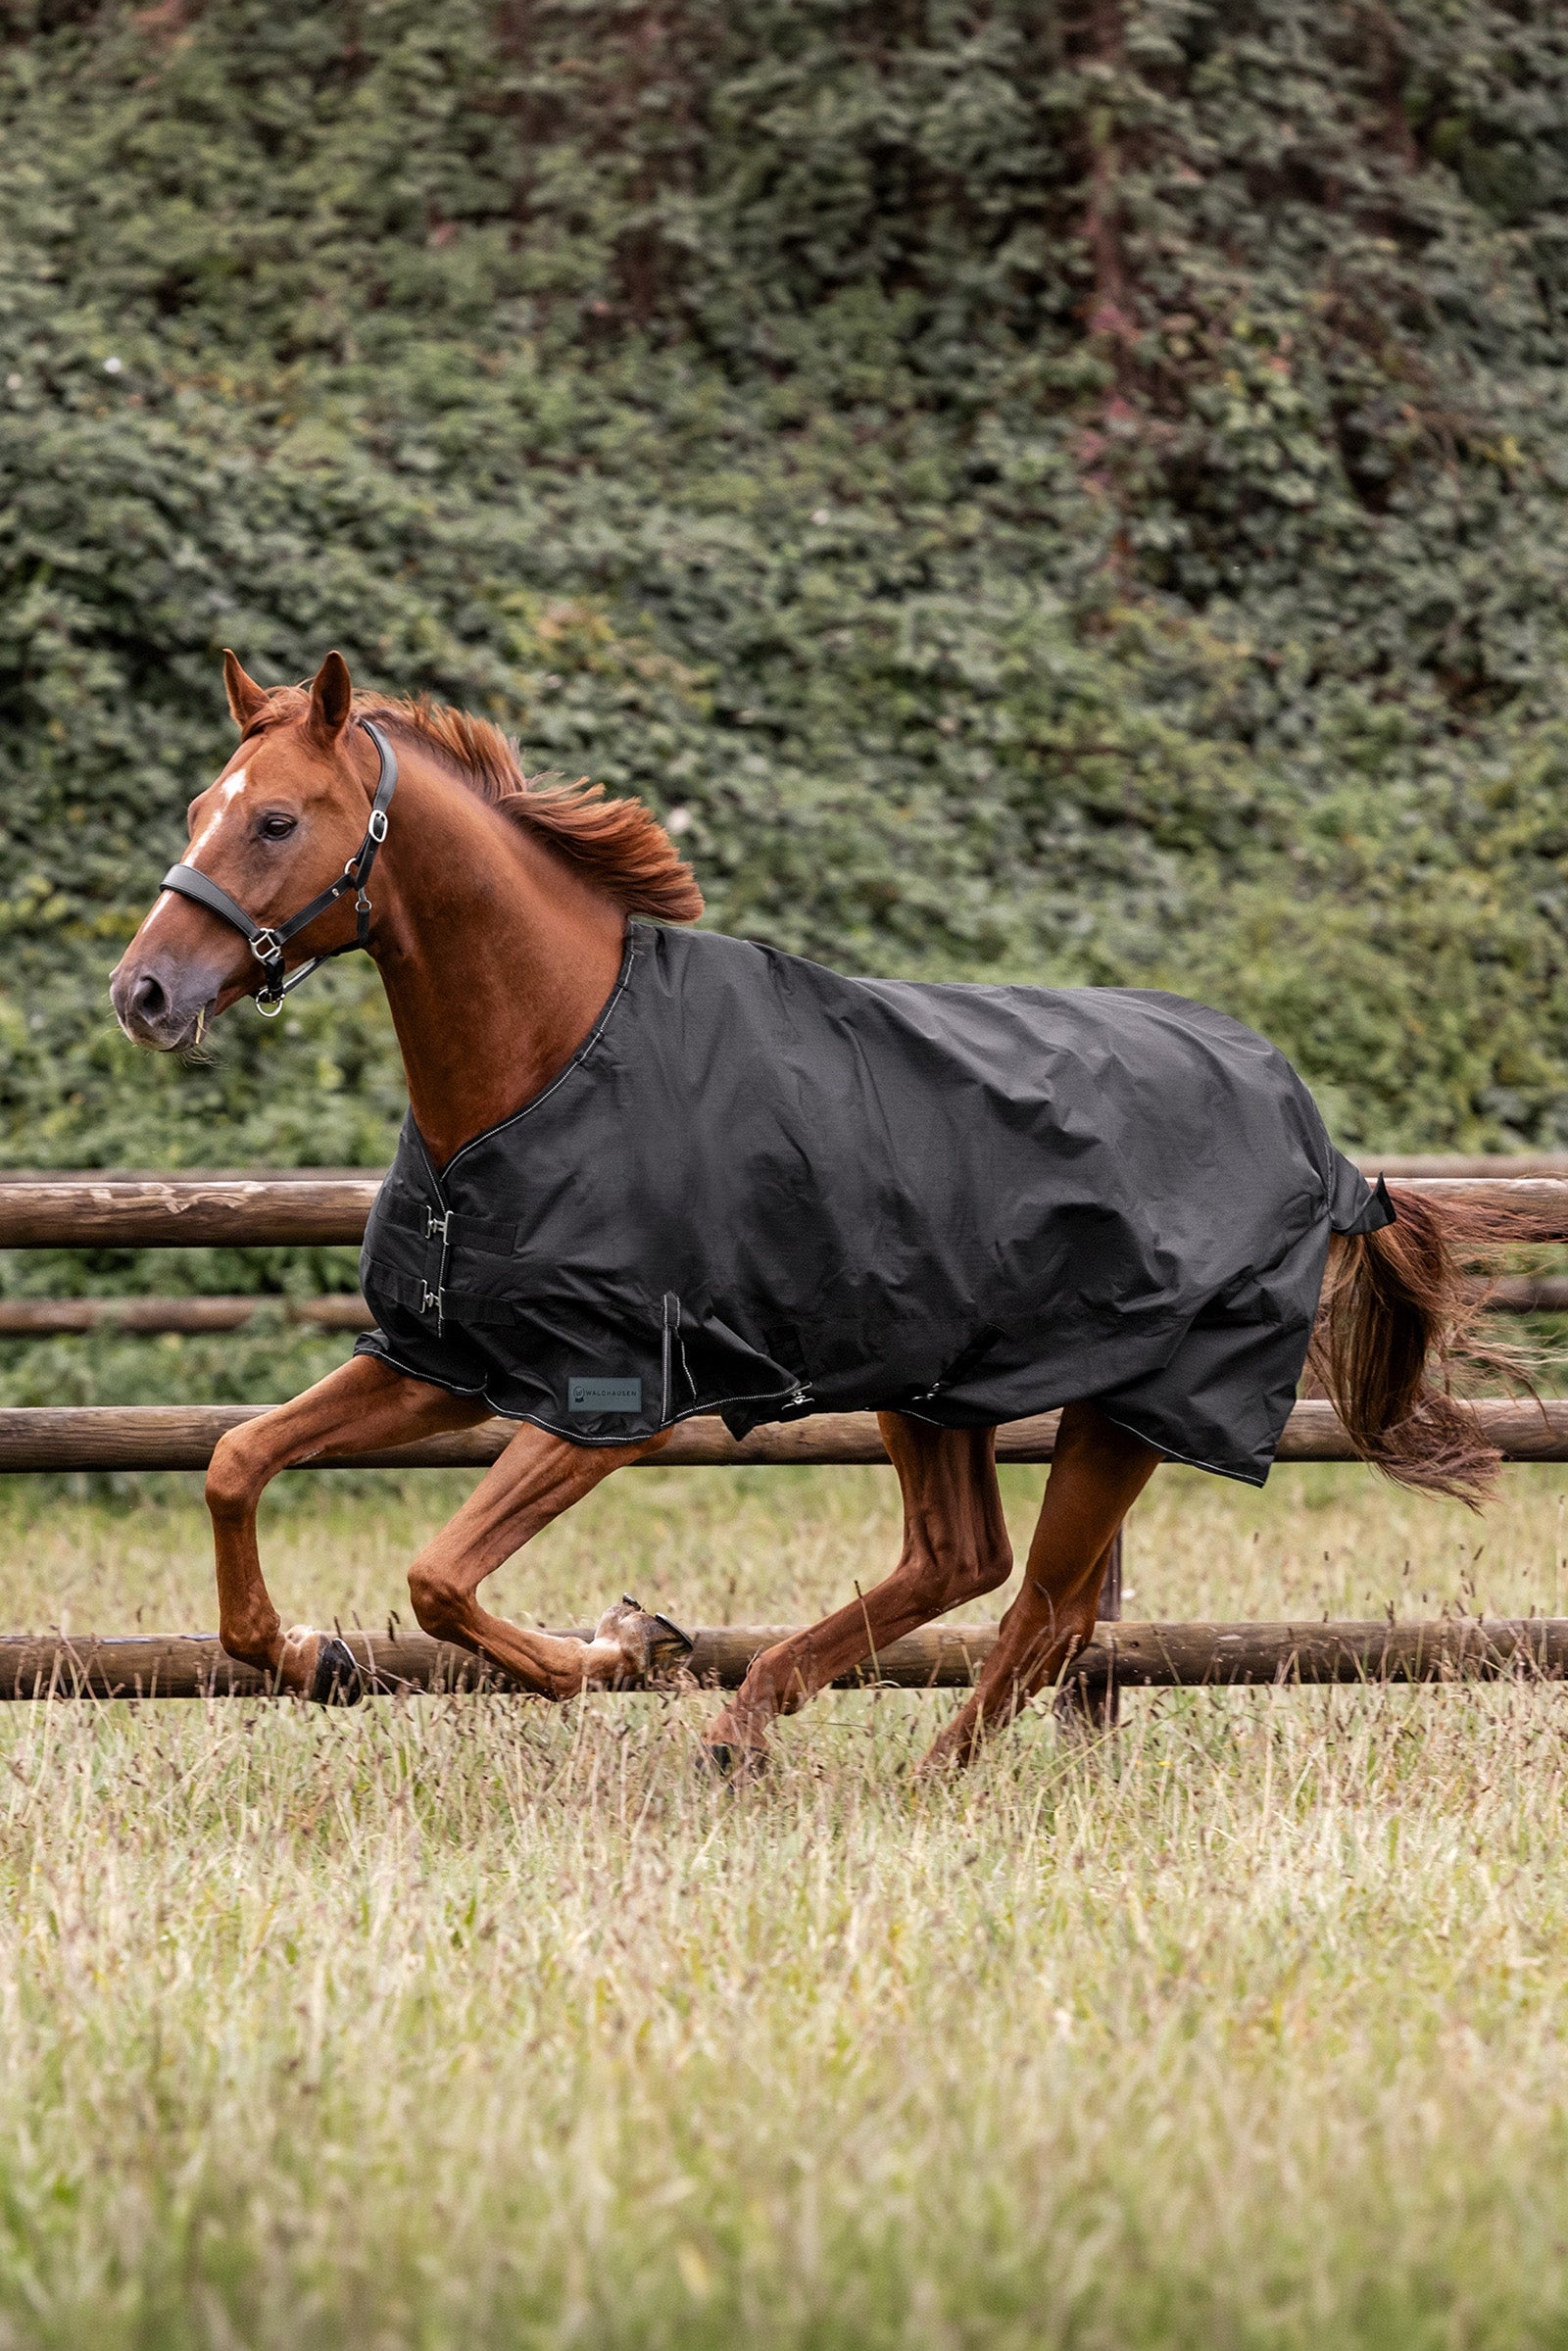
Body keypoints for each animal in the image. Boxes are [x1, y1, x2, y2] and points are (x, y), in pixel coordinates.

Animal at [109, 650, 1504, 1770]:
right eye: (195, 809)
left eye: (275, 819)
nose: (144, 993)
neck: (551, 1060)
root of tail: (1317, 1136)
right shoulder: (444, 1360)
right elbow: (237, 1461)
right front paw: (313, 1657)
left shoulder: (610, 1401)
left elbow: (439, 1575)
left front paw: (617, 1649)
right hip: (933, 1384)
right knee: (961, 1560)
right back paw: (760, 1724)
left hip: (1130, 1408)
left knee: (1042, 1606)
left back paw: (901, 1774)